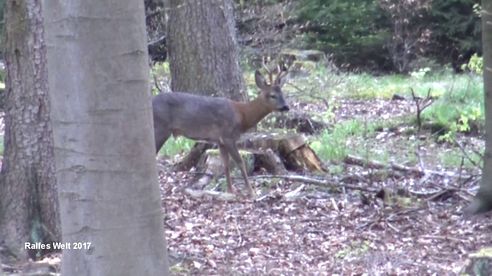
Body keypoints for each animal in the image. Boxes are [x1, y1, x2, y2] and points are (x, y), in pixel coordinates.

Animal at [154, 63, 290, 196]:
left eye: (282, 94)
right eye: (272, 95)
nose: (286, 107)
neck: (242, 115)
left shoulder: (220, 141)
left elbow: (225, 164)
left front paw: (230, 191)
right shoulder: (228, 136)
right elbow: (240, 162)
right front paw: (251, 192)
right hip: (160, 128)